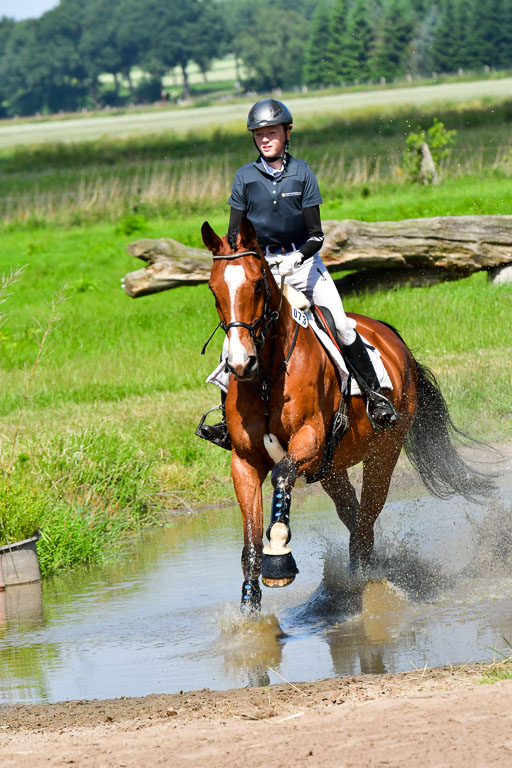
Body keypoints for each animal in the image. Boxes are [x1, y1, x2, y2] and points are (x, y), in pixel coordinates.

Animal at [201, 217, 492, 613]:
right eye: (213, 289)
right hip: (330, 468)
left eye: (258, 283)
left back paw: (363, 584)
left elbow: (281, 476)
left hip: (383, 453)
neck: (265, 377)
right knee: (354, 517)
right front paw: (249, 612)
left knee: (366, 520)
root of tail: (392, 338)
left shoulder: (308, 439)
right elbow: (250, 542)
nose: (239, 363)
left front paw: (279, 557)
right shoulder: (245, 460)